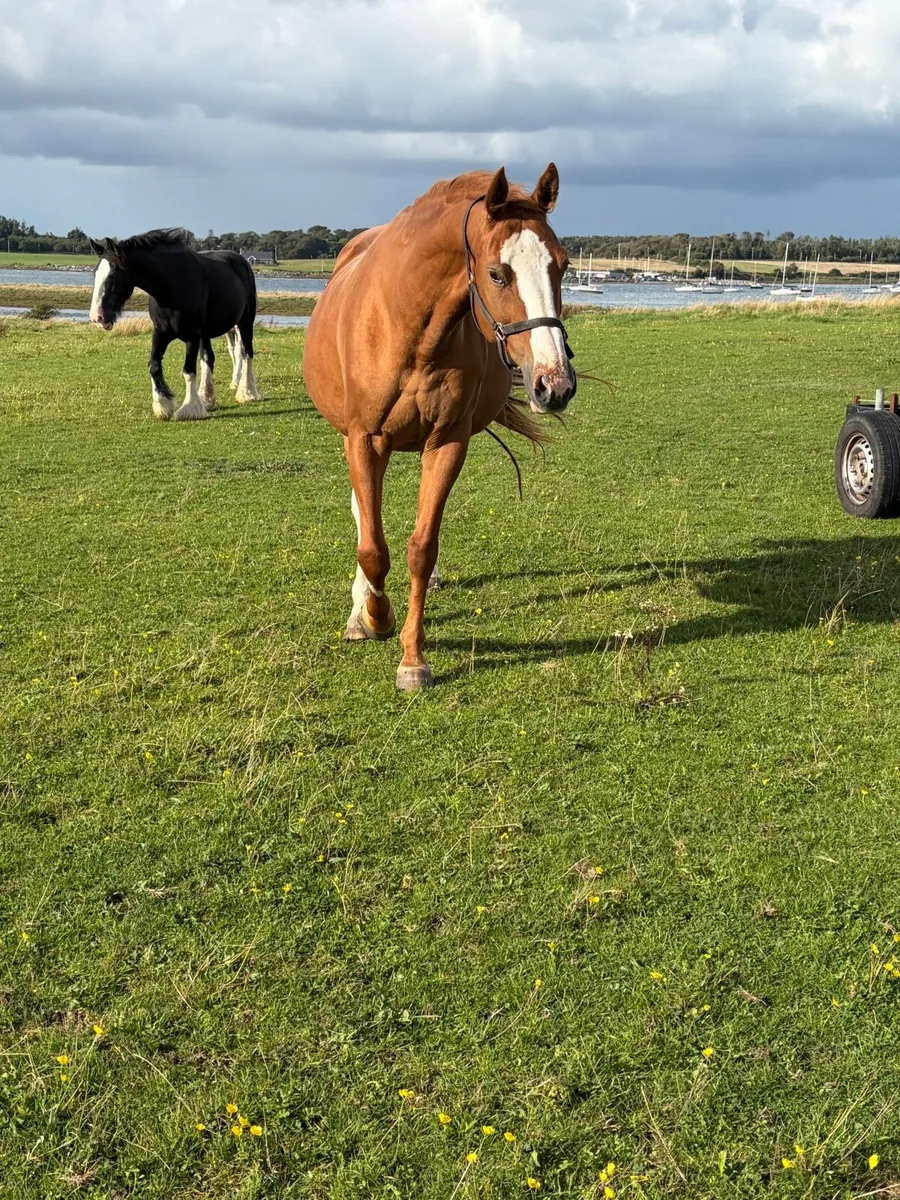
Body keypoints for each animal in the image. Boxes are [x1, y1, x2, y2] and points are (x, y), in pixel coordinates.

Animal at [88, 229, 261, 421]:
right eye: (95, 273)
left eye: (113, 275)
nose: (97, 317)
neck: (171, 287)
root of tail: (242, 261)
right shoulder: (160, 333)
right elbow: (154, 366)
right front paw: (163, 405)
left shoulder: (192, 337)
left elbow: (188, 371)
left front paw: (189, 408)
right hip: (206, 334)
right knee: (208, 358)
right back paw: (206, 398)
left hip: (244, 323)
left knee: (246, 353)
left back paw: (247, 393)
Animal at [303, 163, 577, 690]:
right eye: (497, 273)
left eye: (563, 264)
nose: (554, 384)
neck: (409, 328)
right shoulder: (364, 441)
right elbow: (373, 548)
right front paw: (375, 618)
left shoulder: (447, 442)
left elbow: (421, 548)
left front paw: (412, 657)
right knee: (362, 517)